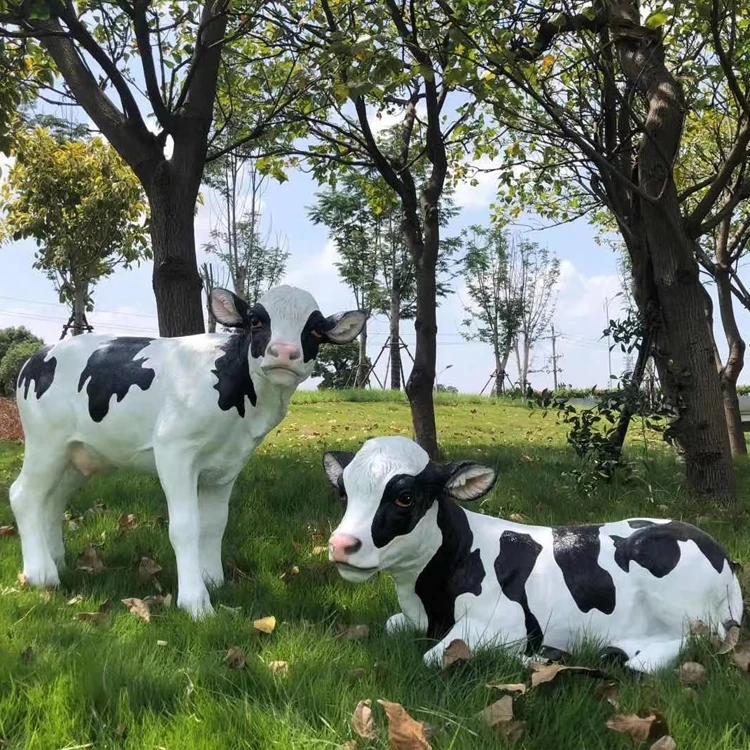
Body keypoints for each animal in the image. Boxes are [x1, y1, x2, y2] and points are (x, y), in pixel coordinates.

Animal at [9, 285, 366, 618]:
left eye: (315, 331)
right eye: (256, 320)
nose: (284, 352)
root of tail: (40, 354)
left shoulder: (228, 465)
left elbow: (215, 524)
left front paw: (214, 581)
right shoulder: (174, 449)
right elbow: (186, 526)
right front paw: (196, 601)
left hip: (78, 455)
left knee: (52, 502)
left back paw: (56, 561)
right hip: (46, 442)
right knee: (23, 495)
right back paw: (40, 573)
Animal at [322, 436, 742, 672]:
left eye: (405, 497)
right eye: (344, 493)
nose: (341, 545)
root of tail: (719, 551)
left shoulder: (503, 621)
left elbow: (433, 657)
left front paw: (533, 657)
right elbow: (392, 624)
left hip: (681, 600)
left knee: (696, 642)